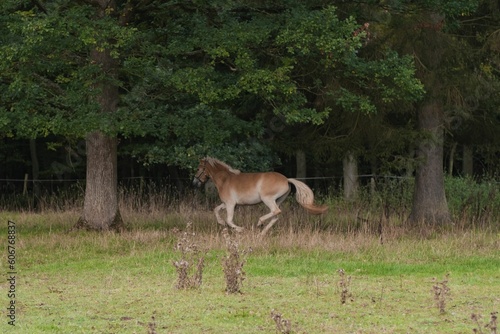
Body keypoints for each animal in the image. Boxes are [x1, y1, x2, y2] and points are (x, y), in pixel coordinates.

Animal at [192, 157, 328, 235]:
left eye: (198, 168)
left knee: (275, 211)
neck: (225, 180)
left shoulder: (230, 204)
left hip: (268, 199)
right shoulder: (227, 204)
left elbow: (229, 220)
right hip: (278, 200)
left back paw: (259, 223)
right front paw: (221, 223)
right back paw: (262, 232)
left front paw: (240, 229)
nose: (194, 183)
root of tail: (286, 180)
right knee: (275, 216)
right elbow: (216, 210)